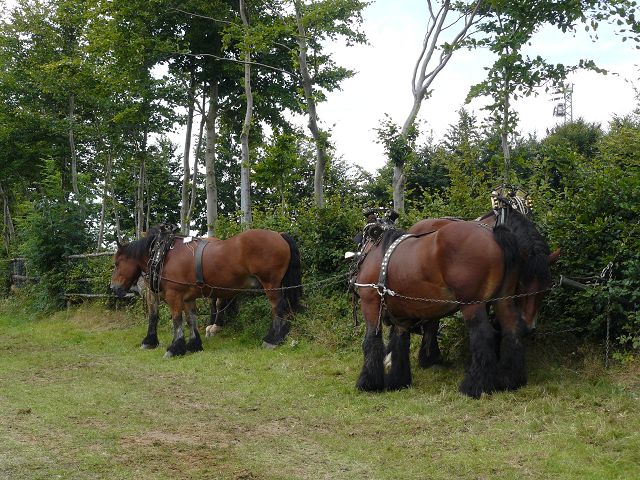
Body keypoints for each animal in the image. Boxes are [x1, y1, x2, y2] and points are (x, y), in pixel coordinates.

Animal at [110, 228, 302, 356]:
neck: (163, 255)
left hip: (271, 285)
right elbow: (191, 319)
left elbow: (176, 320)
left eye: (117, 263)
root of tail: (279, 235)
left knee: (278, 308)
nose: (114, 288)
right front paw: (194, 344)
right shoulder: (187, 297)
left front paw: (174, 348)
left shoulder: (174, 295)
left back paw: (273, 339)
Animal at [353, 212, 541, 398]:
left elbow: (371, 341)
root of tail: (493, 233)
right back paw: (510, 380)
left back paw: (474, 386)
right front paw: (398, 381)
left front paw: (368, 383)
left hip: (472, 304)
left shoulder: (371, 302)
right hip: (503, 299)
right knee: (512, 328)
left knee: (483, 336)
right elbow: (400, 343)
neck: (378, 251)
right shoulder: (402, 315)